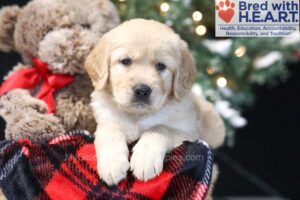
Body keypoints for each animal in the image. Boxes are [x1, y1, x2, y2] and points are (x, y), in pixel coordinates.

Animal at [84, 18, 225, 186]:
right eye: (126, 61)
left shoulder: (188, 132)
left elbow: (160, 127)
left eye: (161, 66)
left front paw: (145, 158)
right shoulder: (105, 118)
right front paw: (112, 163)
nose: (142, 90)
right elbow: (109, 128)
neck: (137, 115)